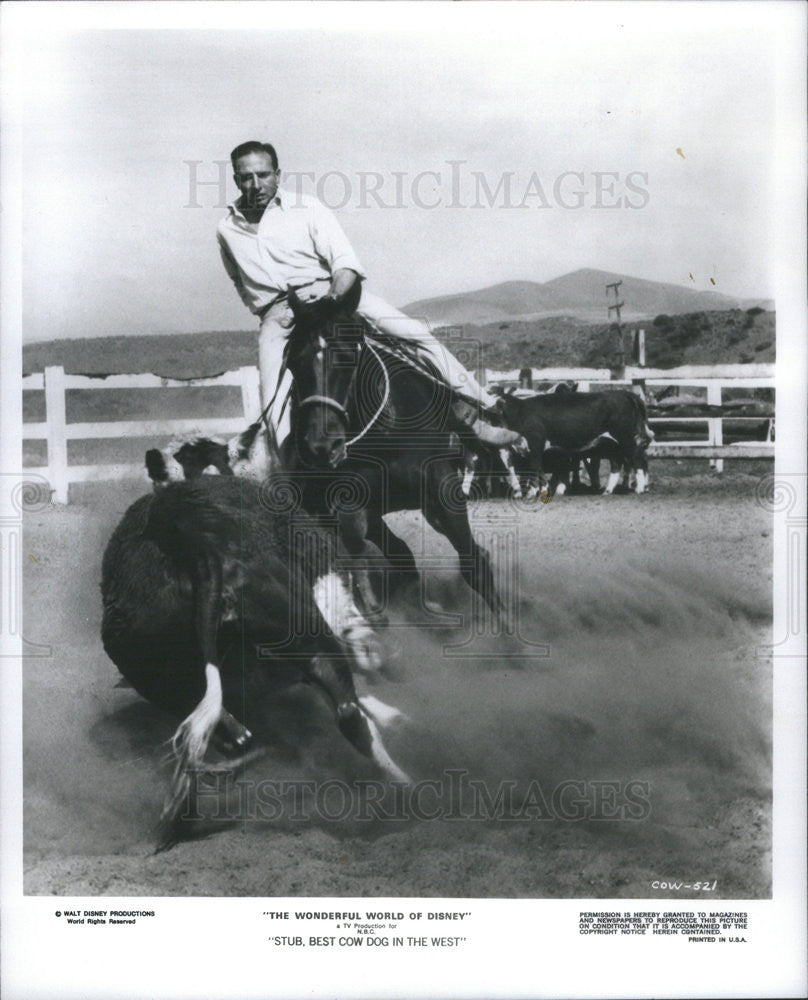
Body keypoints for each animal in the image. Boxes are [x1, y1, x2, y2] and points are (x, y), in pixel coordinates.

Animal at [278, 286, 504, 620]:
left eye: (347, 357)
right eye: (294, 361)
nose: (321, 446)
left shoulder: (443, 488)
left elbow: (473, 565)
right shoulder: (352, 505)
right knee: (402, 557)